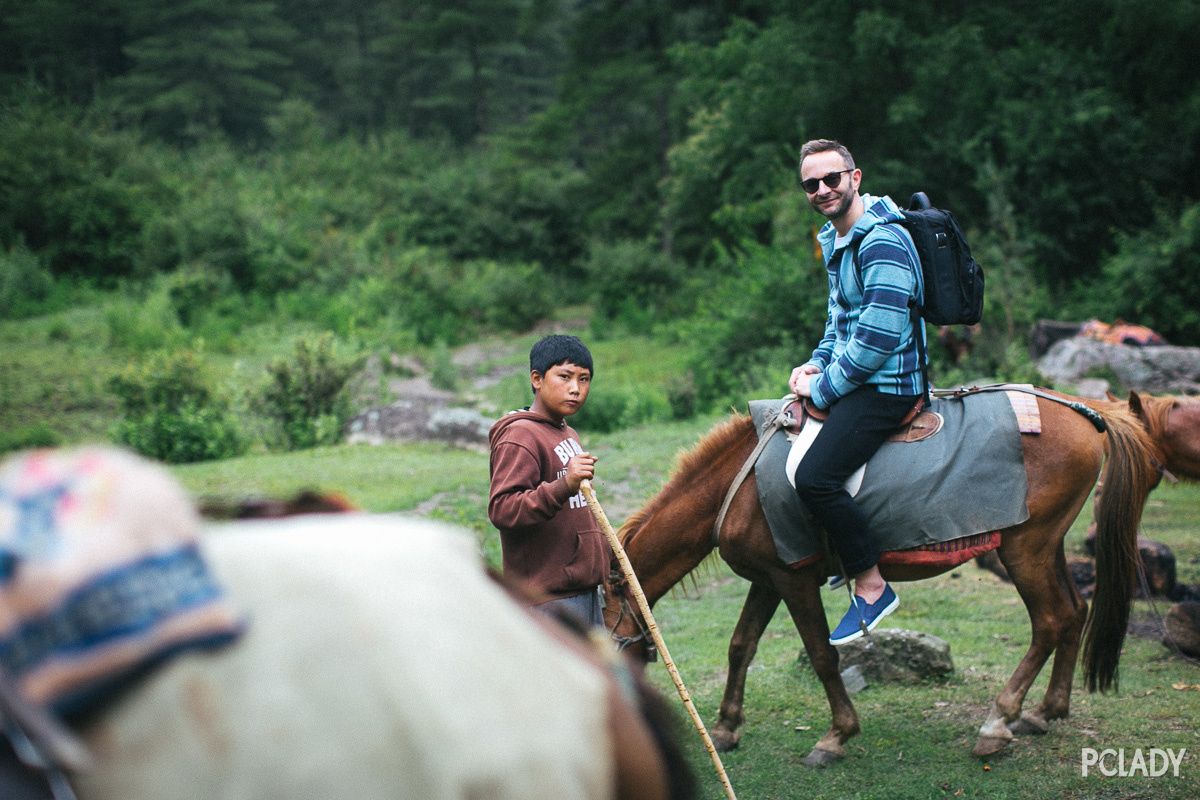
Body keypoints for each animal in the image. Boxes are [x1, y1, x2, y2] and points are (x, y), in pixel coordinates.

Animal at [604, 393, 1166, 762]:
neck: (737, 485)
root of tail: (1085, 412)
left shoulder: (794, 579)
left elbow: (822, 655)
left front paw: (836, 735)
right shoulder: (770, 577)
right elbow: (741, 646)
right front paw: (725, 728)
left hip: (1025, 549)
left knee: (1050, 621)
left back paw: (998, 722)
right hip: (1046, 546)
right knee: (1074, 612)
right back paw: (1044, 712)